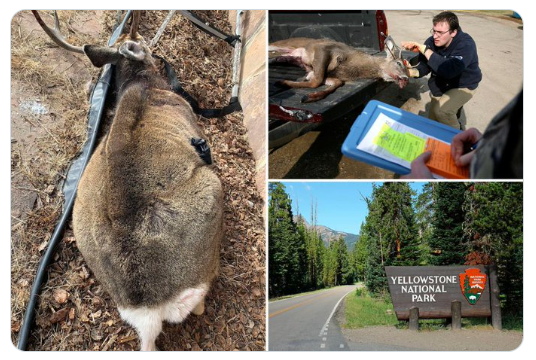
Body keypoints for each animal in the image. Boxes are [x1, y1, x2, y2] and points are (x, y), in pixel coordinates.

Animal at [270, 36, 408, 102]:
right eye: (399, 63)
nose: (406, 78)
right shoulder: (324, 49)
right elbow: (316, 81)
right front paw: (282, 82)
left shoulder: (329, 75)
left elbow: (336, 83)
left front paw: (310, 96)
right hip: (280, 44)